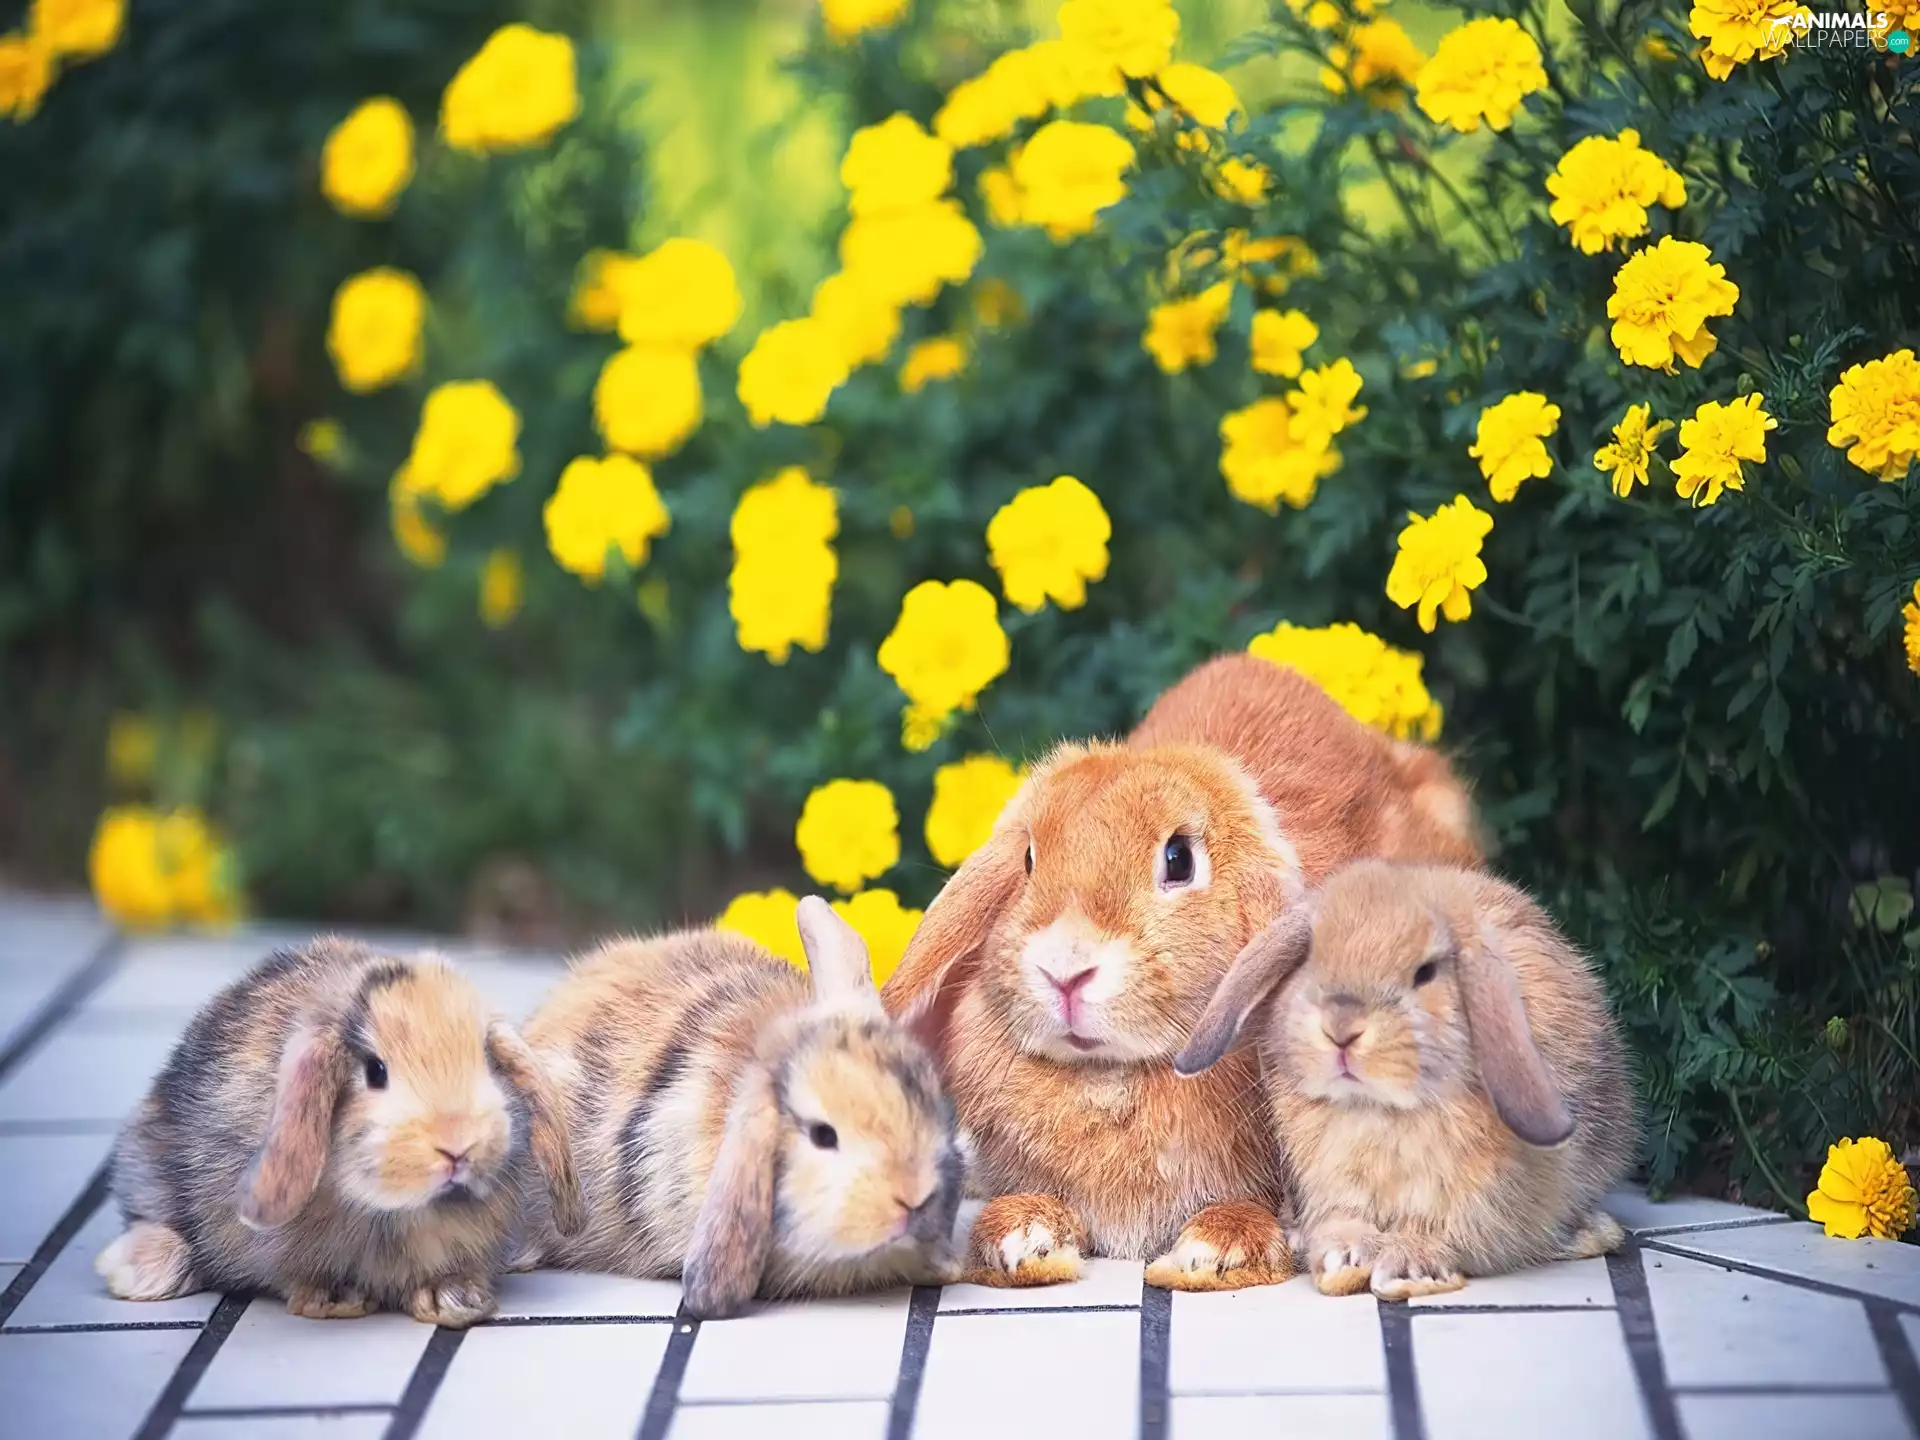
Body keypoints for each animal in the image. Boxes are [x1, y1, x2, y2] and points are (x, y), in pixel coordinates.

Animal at [95, 937, 583, 1328]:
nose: (458, 1144)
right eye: (375, 1071)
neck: (400, 1213)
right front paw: (337, 1299)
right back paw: (136, 1269)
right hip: (145, 1166)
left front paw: (455, 1299)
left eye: (486, 1060)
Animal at [881, 652, 1483, 1292]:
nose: (1064, 969)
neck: (1112, 1078)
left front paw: (1217, 1251)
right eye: (1028, 860)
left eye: (1179, 859)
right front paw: (1018, 1240)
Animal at [1173, 858, 1637, 1300]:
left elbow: (1448, 1234)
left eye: (1425, 972)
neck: (1377, 1110)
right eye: (1310, 956)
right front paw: (1344, 1254)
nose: (1341, 1027)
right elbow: (1342, 1219)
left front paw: (1409, 1264)